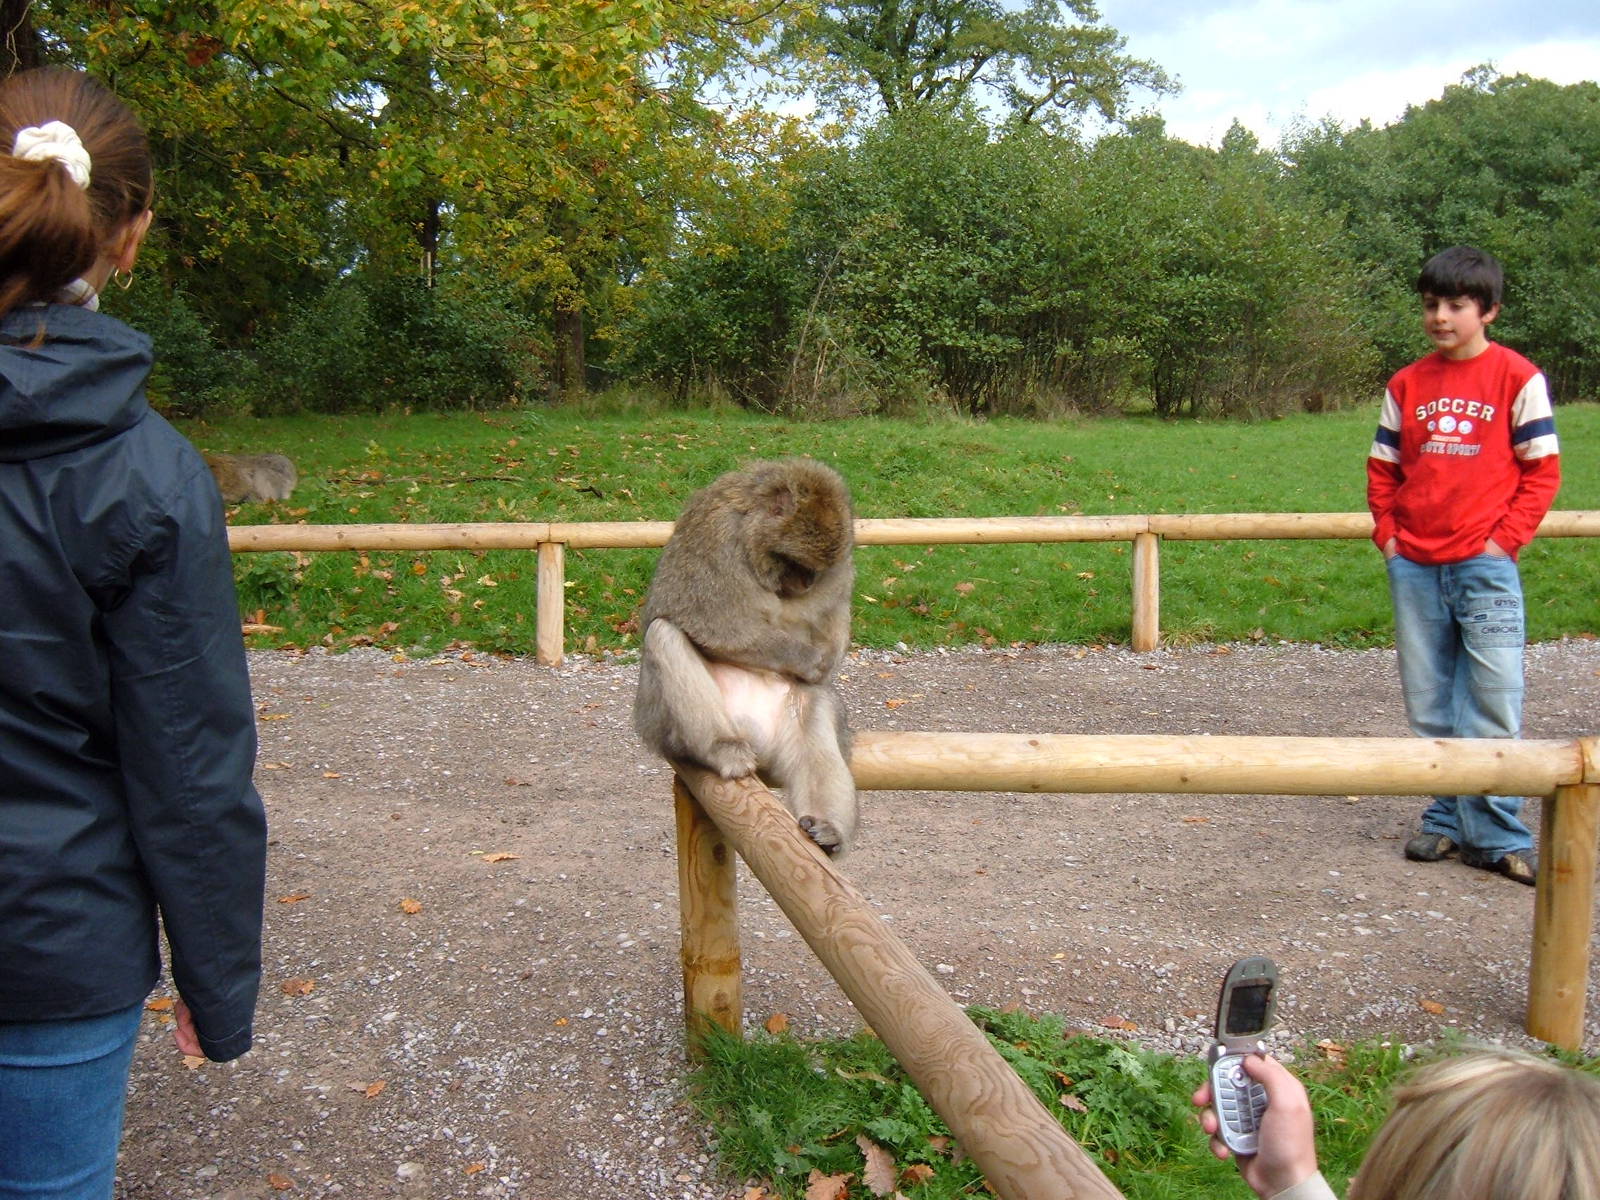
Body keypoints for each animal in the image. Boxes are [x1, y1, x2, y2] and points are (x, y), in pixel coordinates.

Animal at [633, 458, 859, 856]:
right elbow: (711, 621)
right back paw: (722, 750)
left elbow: (831, 639)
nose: (805, 584)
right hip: (665, 726)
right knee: (664, 635)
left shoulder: (840, 559)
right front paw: (807, 659)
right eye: (793, 561)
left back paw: (827, 830)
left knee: (814, 703)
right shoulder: (716, 536)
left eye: (813, 570)